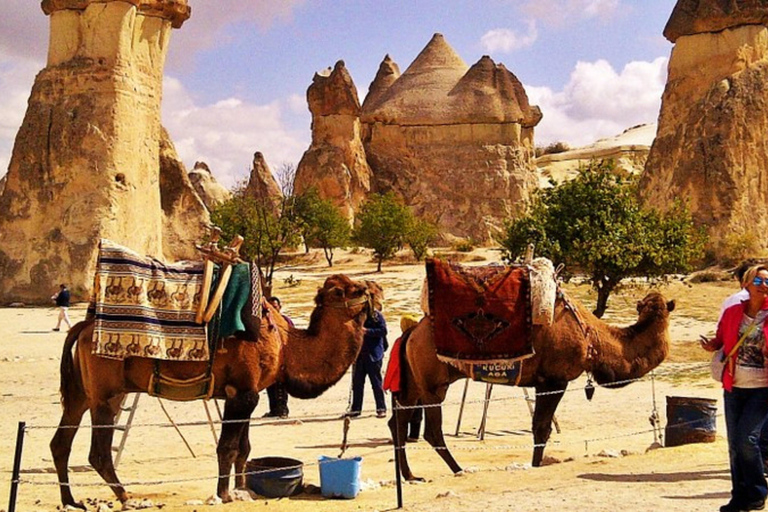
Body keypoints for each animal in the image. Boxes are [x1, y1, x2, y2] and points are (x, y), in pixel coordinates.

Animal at [48, 274, 376, 506]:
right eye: (341, 291)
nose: (372, 288)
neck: (285, 343)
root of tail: (83, 328)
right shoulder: (241, 393)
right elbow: (227, 447)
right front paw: (224, 494)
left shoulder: (250, 392)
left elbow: (244, 448)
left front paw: (243, 488)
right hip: (106, 394)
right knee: (98, 452)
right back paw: (126, 497)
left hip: (82, 393)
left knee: (61, 442)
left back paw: (70, 501)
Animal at [390, 292, 672, 480]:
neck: (592, 338)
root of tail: (412, 332)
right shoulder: (554, 380)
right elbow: (542, 429)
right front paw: (536, 466)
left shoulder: (542, 382)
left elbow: (540, 428)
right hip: (433, 384)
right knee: (431, 431)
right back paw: (458, 469)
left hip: (414, 382)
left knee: (398, 421)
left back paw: (410, 476)